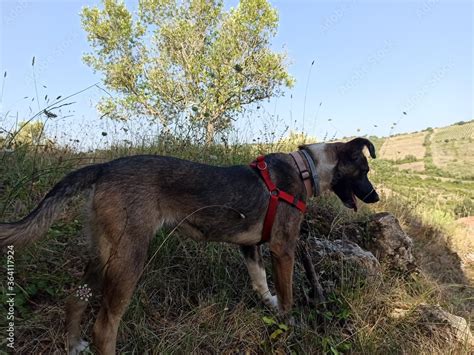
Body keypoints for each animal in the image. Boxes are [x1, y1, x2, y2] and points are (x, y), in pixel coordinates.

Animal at [0, 138, 378, 354]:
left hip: (102, 252)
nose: (374, 197)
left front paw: (270, 309)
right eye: (363, 170)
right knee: (104, 327)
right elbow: (286, 295)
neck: (305, 169)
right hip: (129, 258)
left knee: (76, 297)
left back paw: (73, 344)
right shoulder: (282, 248)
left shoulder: (251, 247)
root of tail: (105, 166)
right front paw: (289, 325)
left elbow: (261, 284)